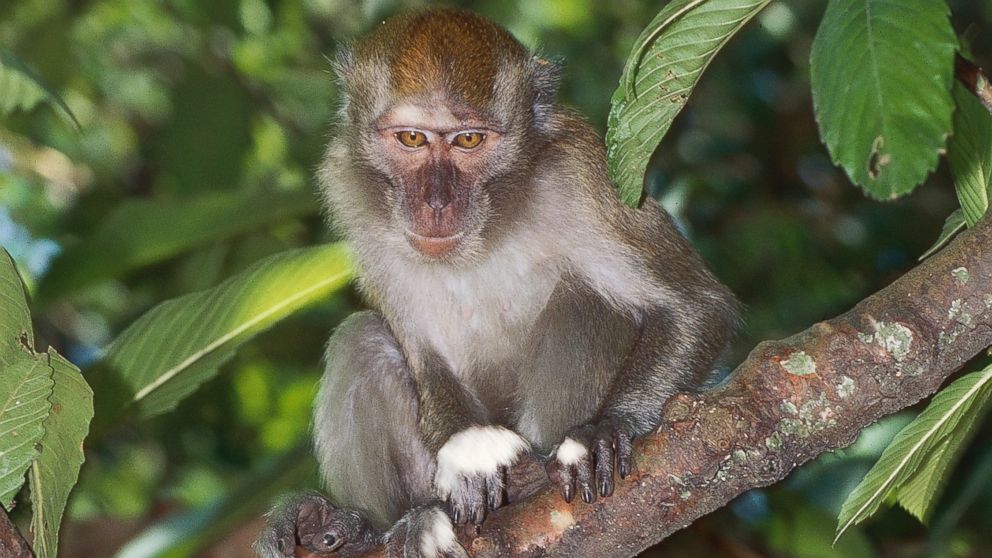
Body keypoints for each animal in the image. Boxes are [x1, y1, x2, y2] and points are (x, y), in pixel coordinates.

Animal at [255, 8, 737, 558]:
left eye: (468, 140)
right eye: (412, 139)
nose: (436, 202)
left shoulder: (584, 175)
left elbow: (696, 307)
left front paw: (609, 426)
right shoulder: (346, 189)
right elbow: (423, 354)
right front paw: (466, 456)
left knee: (586, 298)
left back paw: (529, 481)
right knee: (362, 338)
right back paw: (371, 526)